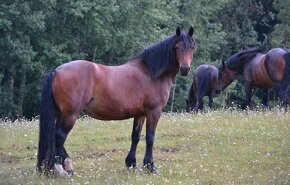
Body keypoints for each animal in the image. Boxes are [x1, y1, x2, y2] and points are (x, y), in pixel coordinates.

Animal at [36, 27, 197, 176]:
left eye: (192, 47)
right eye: (177, 47)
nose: (185, 69)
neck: (151, 73)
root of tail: (56, 71)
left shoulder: (140, 114)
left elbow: (135, 137)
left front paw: (131, 163)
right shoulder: (154, 112)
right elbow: (150, 138)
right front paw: (150, 166)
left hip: (61, 114)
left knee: (55, 137)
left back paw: (65, 166)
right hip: (70, 115)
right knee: (59, 138)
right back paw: (61, 169)